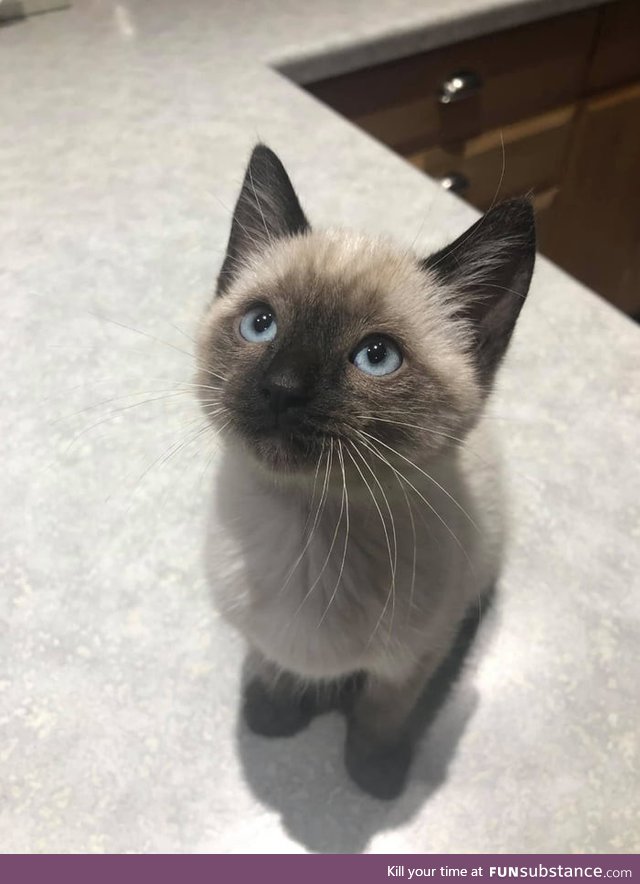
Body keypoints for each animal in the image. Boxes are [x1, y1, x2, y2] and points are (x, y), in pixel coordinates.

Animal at [196, 147, 536, 800]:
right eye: (261, 324)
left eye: (376, 358)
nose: (283, 388)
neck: (309, 536)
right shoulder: (259, 635)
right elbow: (275, 667)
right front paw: (274, 718)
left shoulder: (410, 661)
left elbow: (382, 714)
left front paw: (372, 777)